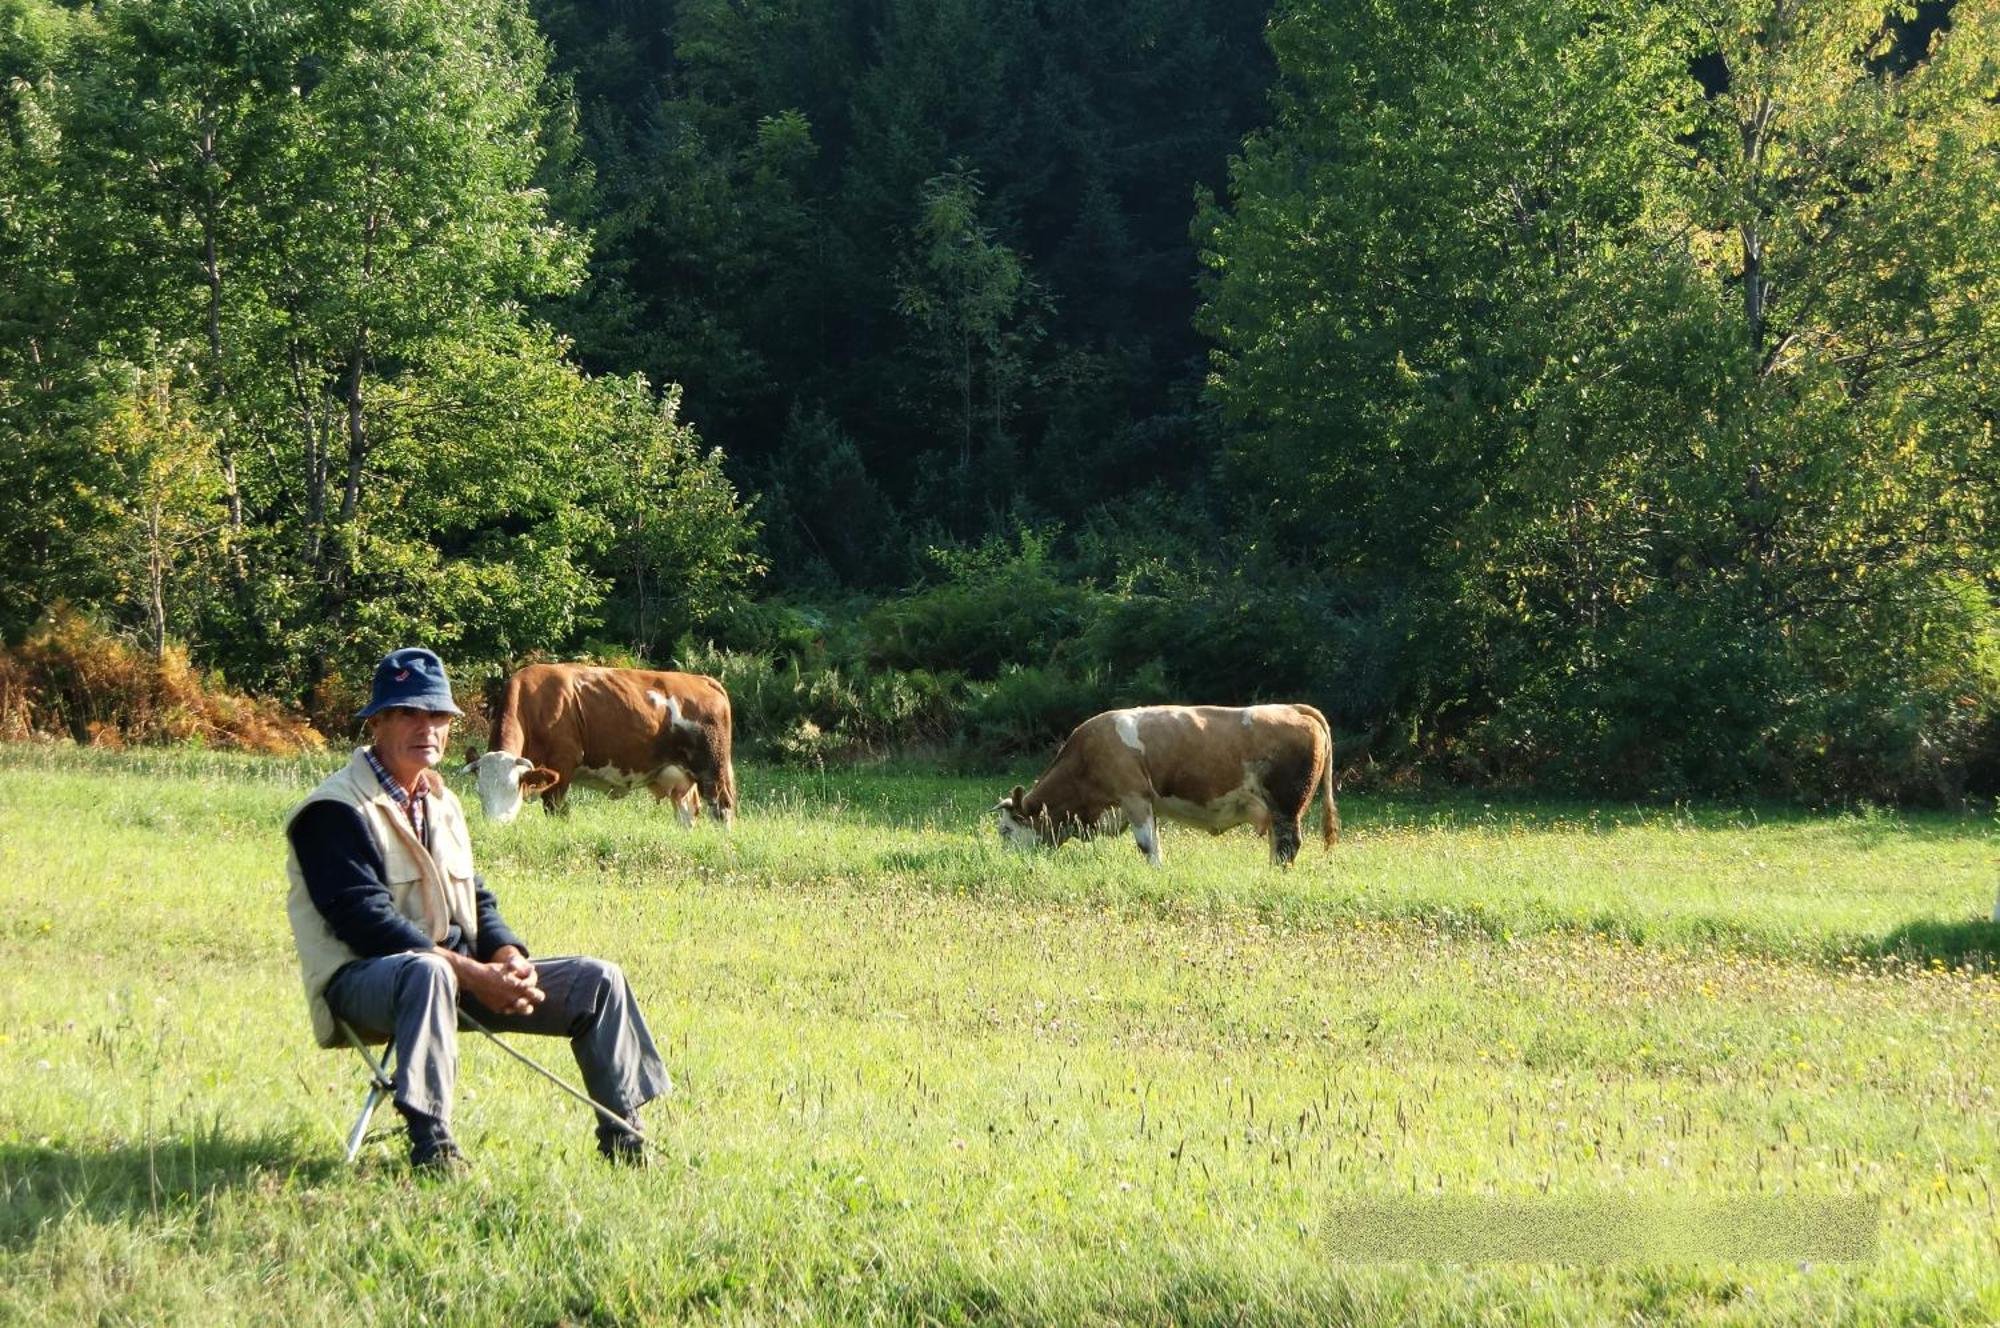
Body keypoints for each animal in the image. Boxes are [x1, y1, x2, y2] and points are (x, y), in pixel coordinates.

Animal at [460, 668, 736, 824]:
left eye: (512, 788)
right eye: (479, 792)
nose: (495, 826)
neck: (534, 704)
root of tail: (703, 680)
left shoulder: (562, 764)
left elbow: (555, 809)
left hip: (712, 771)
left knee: (722, 809)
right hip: (680, 777)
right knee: (687, 813)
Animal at [992, 700, 1336, 868]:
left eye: (1006, 830)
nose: (1008, 862)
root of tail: (1292, 708)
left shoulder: (1134, 796)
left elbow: (1147, 845)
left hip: (1286, 804)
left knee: (1288, 845)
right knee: (1278, 845)